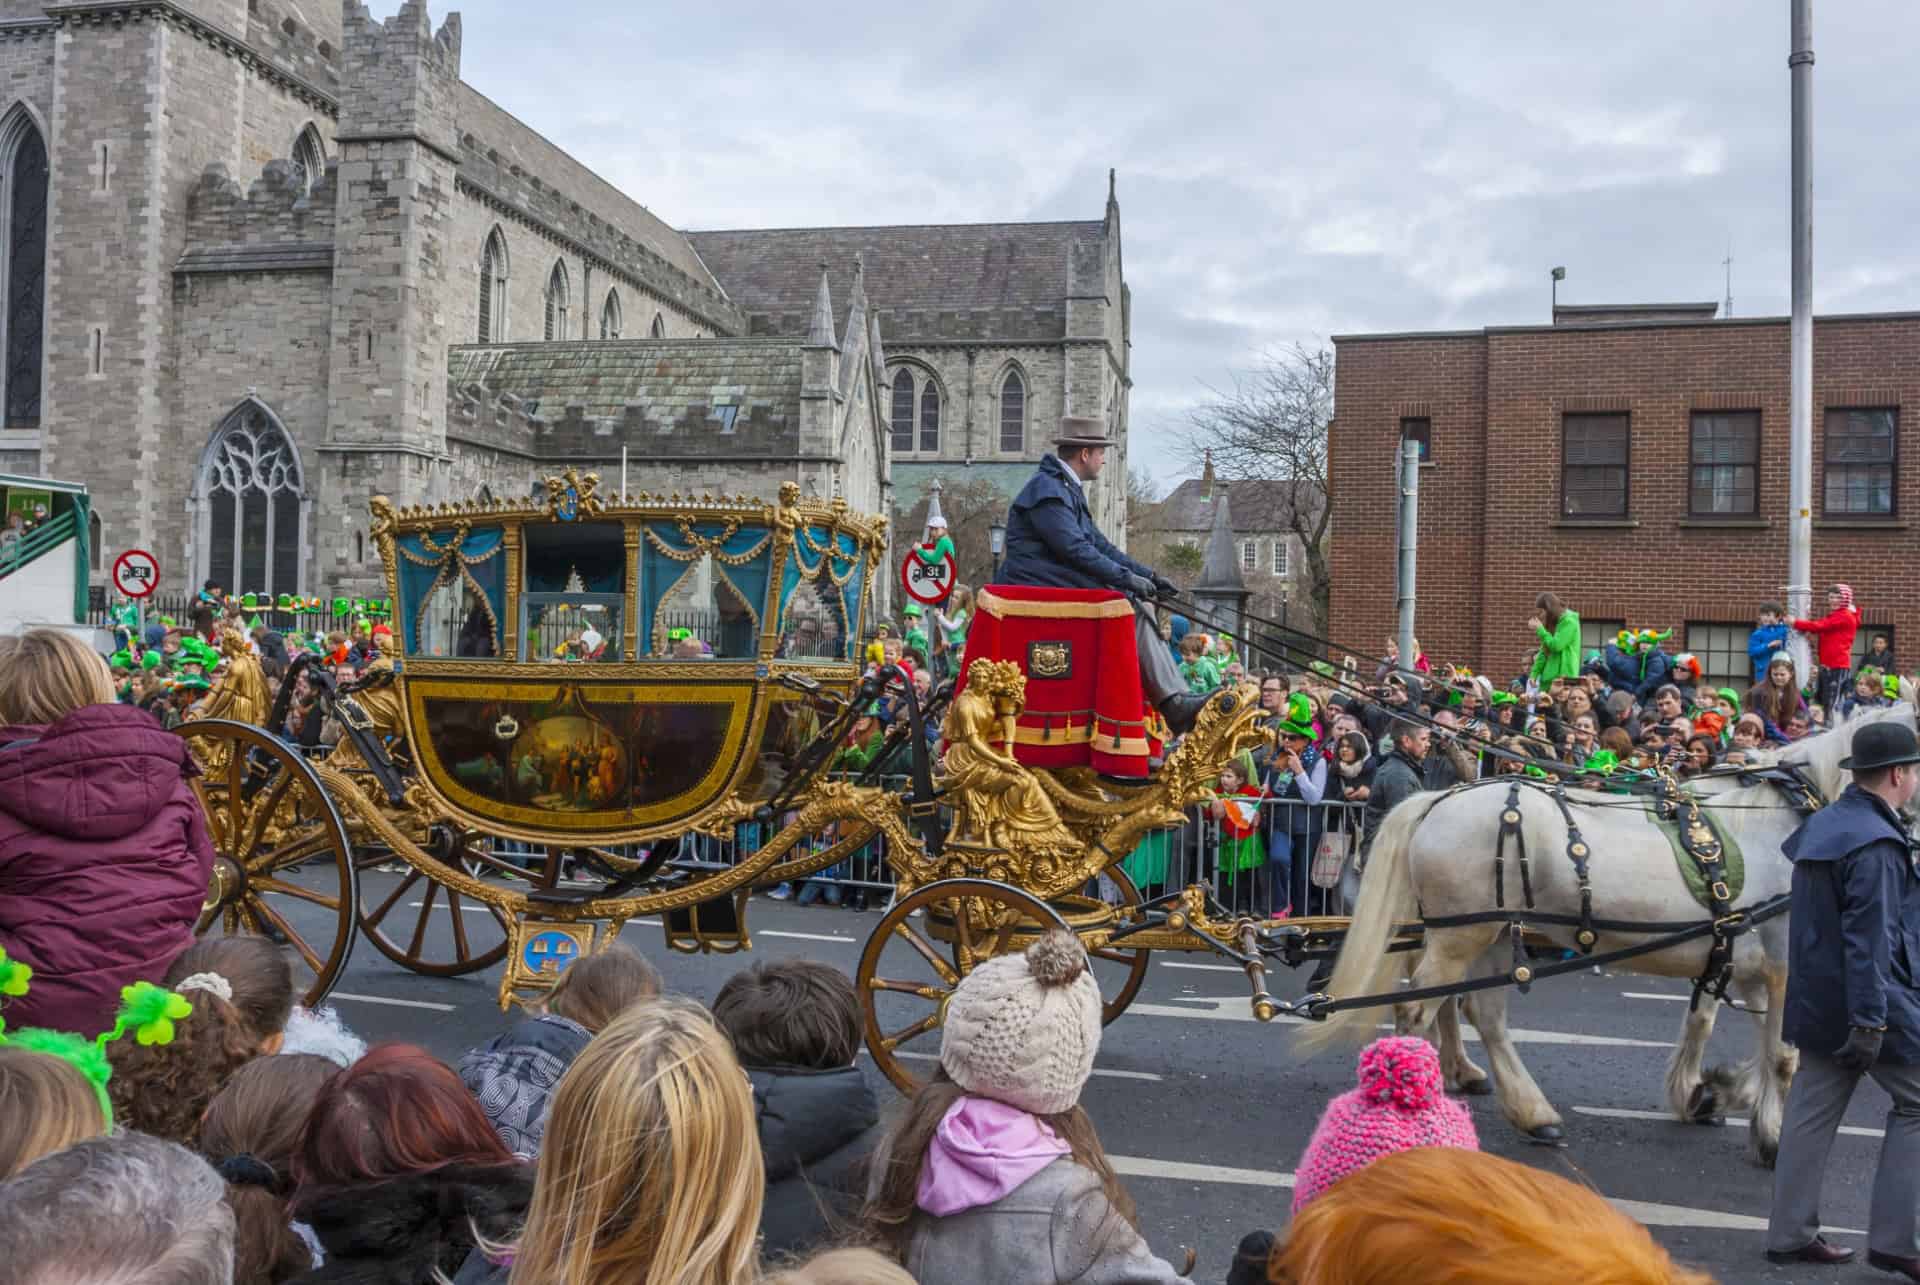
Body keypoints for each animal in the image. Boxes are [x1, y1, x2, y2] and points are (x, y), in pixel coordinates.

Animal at [1297, 703, 1912, 1160]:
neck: (1787, 822)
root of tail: (1435, 799)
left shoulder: (1738, 954)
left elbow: (1709, 1026)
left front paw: (1707, 1091)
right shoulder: (1785, 960)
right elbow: (1783, 1058)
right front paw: (1771, 1135)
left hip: (1487, 934)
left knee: (1479, 1012)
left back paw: (1530, 1112)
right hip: (1461, 936)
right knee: (1420, 1008)